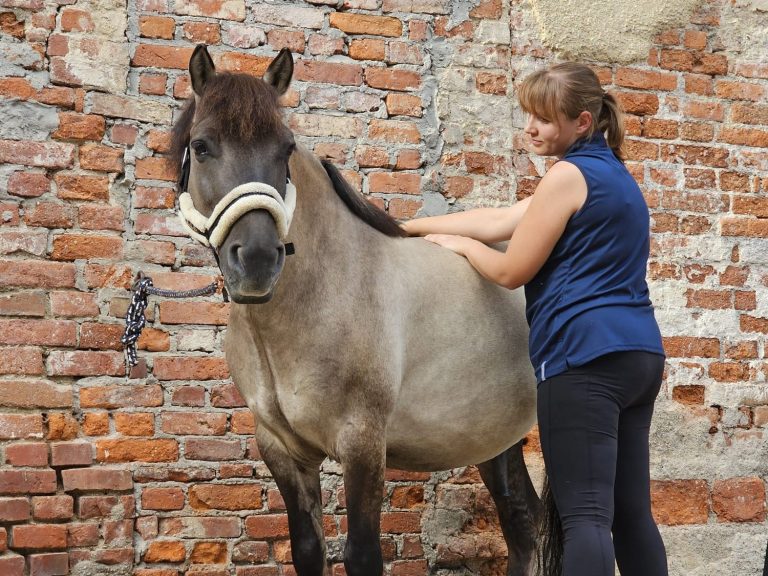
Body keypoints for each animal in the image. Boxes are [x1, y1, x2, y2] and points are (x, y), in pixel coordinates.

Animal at [167, 44, 541, 576]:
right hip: (495, 438)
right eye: (201, 146)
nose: (257, 259)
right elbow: (308, 548)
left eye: (284, 149)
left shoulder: (363, 444)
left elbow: (361, 553)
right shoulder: (282, 449)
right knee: (522, 523)